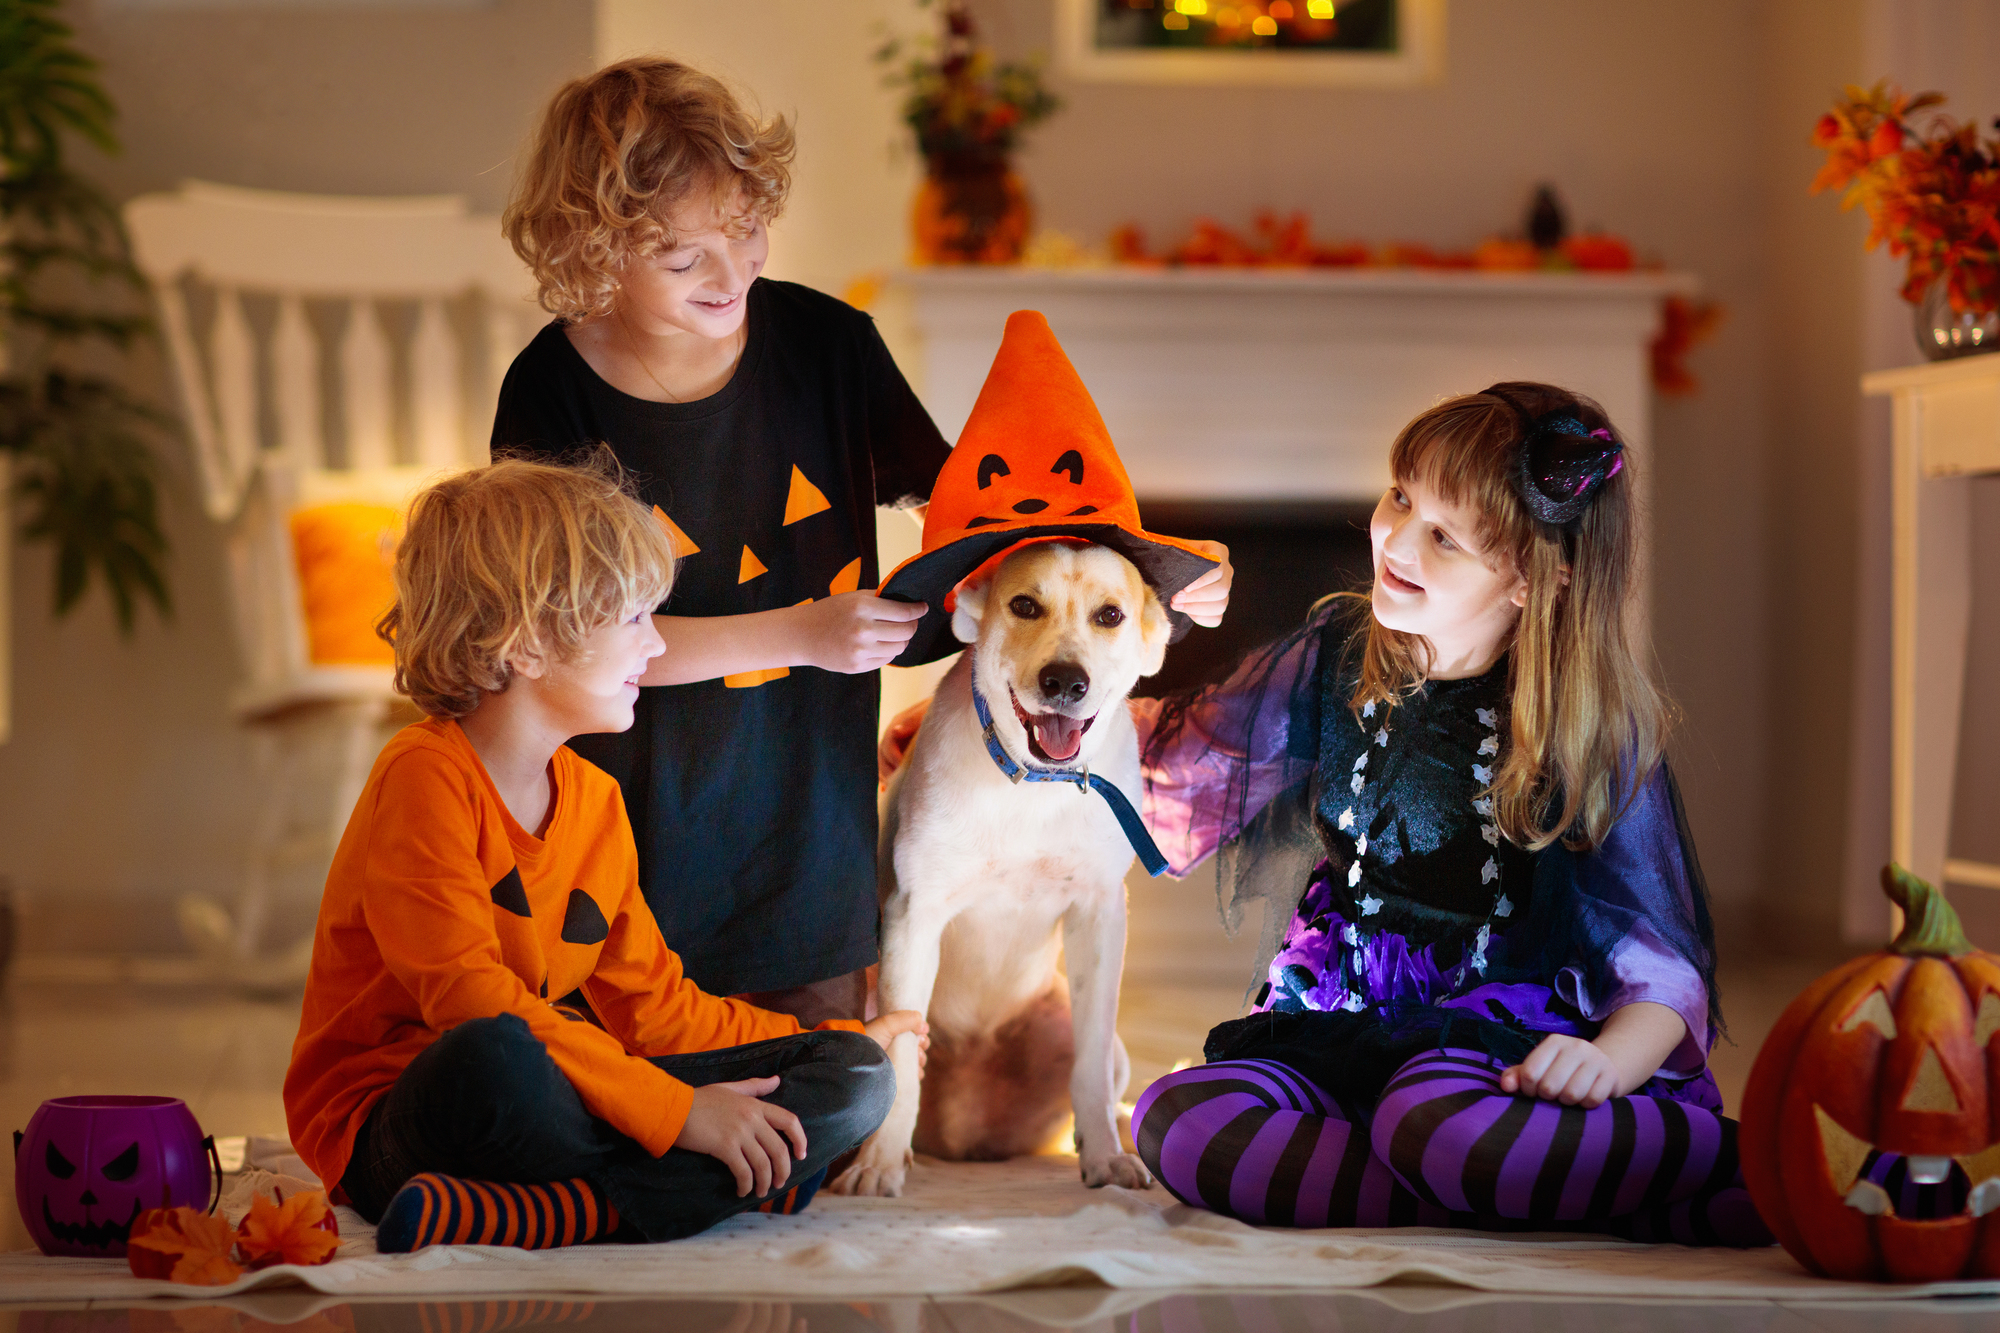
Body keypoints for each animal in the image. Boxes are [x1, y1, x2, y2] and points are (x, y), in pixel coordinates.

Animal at [832, 540, 1168, 1192]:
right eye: (1024, 606)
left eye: (1110, 616)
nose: (1065, 681)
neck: (1032, 785)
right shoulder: (914, 914)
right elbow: (900, 1051)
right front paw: (878, 1165)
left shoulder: (1098, 915)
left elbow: (1089, 1066)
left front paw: (1107, 1160)